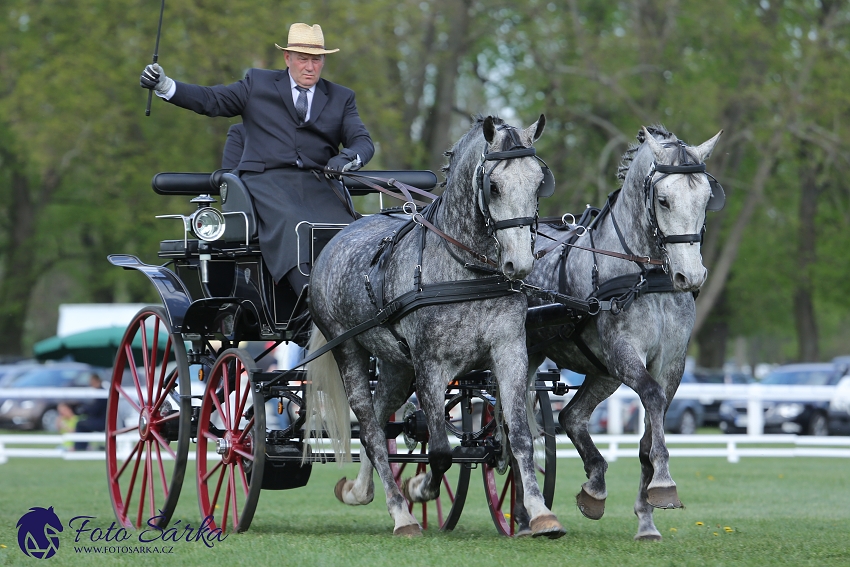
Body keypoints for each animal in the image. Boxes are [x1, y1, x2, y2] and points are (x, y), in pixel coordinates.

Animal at [304, 115, 564, 536]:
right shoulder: (430, 364)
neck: (466, 270)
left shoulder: (509, 353)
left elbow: (520, 436)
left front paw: (540, 513)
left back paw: (360, 490)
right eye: (493, 186)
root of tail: (335, 239)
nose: (520, 264)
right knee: (370, 426)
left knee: (379, 417)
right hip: (348, 349)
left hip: (396, 365)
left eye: (540, 182)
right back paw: (401, 512)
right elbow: (440, 450)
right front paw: (420, 487)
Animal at [528, 124, 720, 540]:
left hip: (602, 373)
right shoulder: (624, 351)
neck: (645, 275)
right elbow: (651, 396)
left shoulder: (671, 362)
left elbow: (650, 428)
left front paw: (647, 515)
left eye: (705, 197)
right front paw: (664, 482)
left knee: (571, 417)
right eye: (663, 200)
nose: (691, 276)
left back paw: (594, 485)